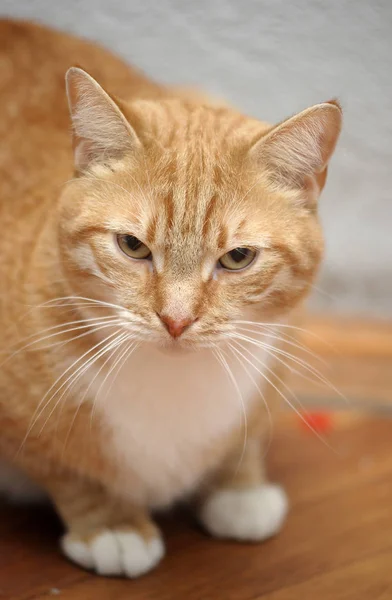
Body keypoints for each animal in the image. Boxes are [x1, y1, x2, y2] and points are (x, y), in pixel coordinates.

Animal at [0, 18, 340, 580]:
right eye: (133, 246)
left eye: (238, 257)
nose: (176, 319)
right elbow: (64, 464)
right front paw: (111, 525)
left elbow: (247, 434)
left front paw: (240, 488)